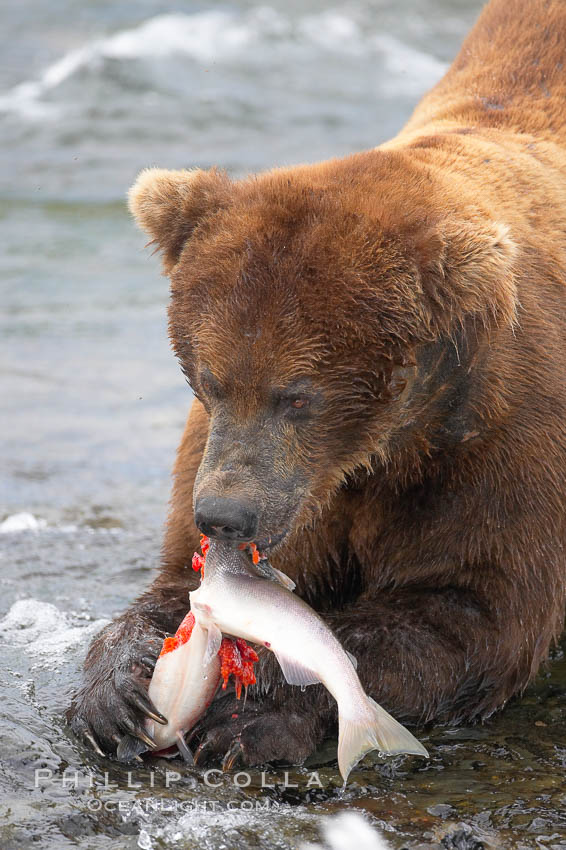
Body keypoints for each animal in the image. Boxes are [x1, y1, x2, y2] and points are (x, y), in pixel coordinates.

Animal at [70, 0, 566, 768]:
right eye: (209, 379)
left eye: (299, 396)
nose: (225, 514)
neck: (388, 444)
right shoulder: (258, 472)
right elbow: (175, 583)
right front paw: (114, 691)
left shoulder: (502, 440)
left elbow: (473, 610)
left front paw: (255, 715)